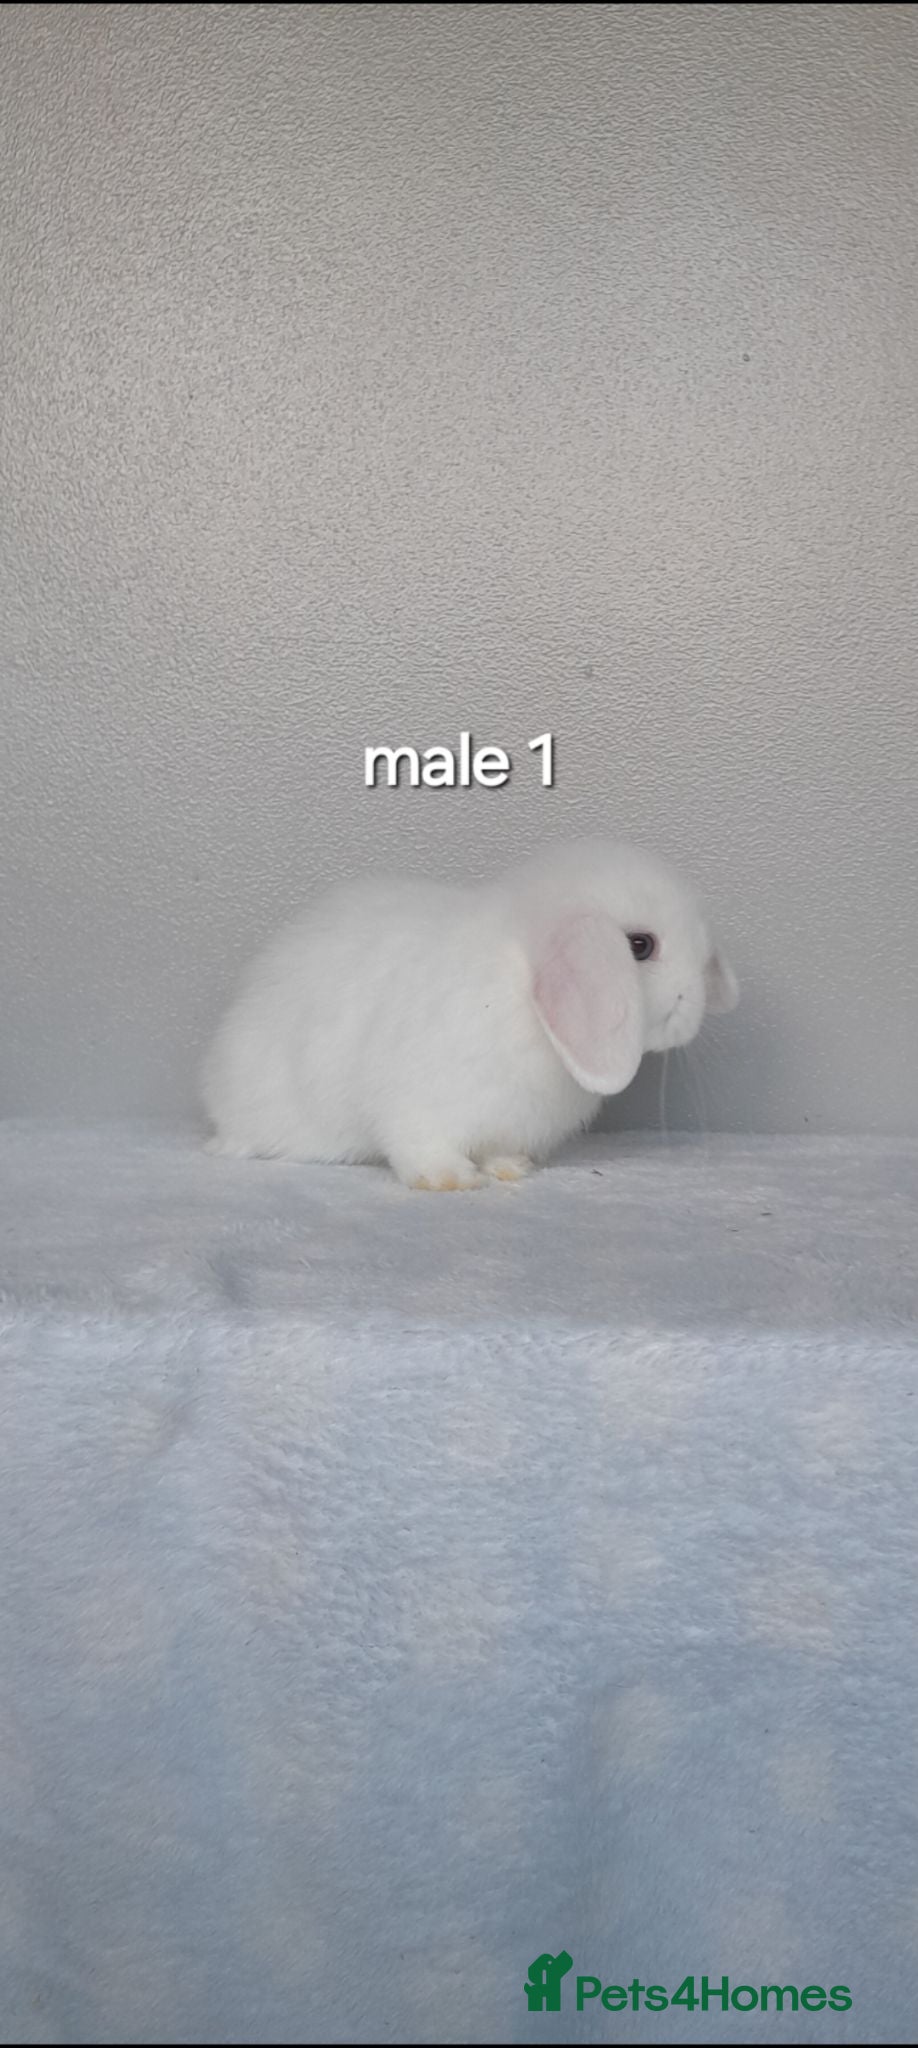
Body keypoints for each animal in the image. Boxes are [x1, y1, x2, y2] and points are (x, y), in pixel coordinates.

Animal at [201, 838, 738, 1190]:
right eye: (640, 946)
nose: (694, 1010)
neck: (522, 993)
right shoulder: (415, 1103)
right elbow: (418, 1146)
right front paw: (452, 1180)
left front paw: (509, 1168)